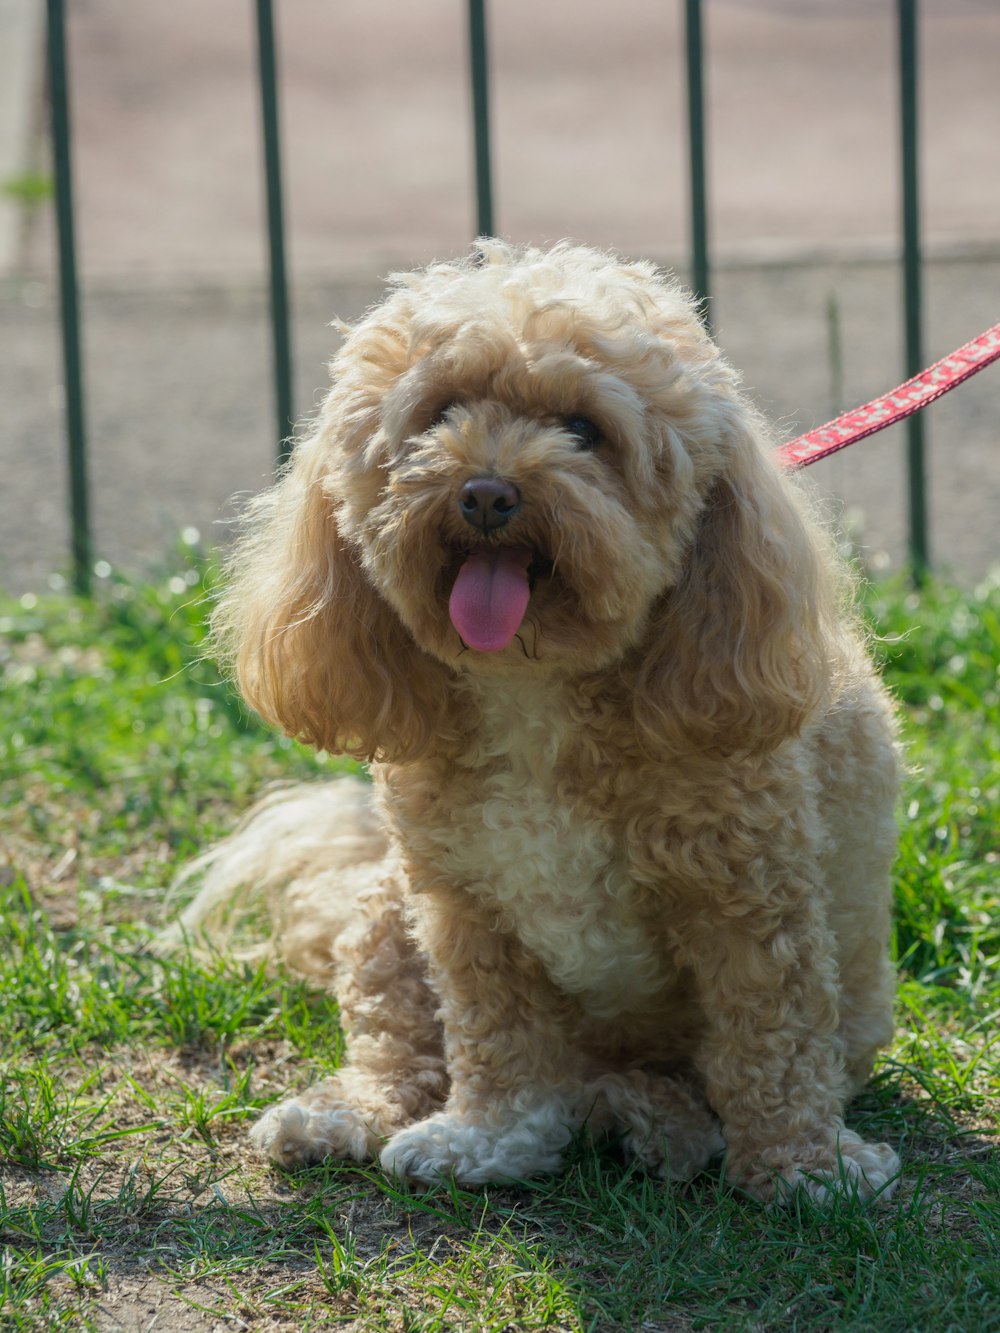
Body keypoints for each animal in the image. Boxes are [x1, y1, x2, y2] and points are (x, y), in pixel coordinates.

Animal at [176, 242, 906, 1210]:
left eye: (584, 429)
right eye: (441, 413)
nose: (486, 493)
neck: (534, 689)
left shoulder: (751, 898)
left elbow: (774, 1043)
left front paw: (806, 1167)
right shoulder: (469, 912)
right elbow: (498, 1044)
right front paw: (489, 1142)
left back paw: (653, 1117)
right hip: (390, 913)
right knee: (397, 1052)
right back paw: (353, 1115)